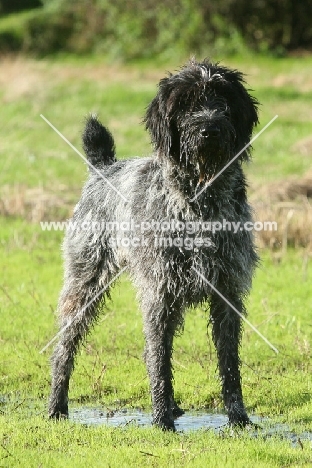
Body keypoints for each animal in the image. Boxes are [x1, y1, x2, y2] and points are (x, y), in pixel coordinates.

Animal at [48, 58, 258, 432]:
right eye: (186, 105)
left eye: (223, 100)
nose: (209, 129)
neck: (199, 201)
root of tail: (102, 167)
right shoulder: (159, 291)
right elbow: (158, 358)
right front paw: (161, 421)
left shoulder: (227, 292)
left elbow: (229, 364)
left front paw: (238, 418)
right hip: (85, 283)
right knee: (64, 348)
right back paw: (57, 406)